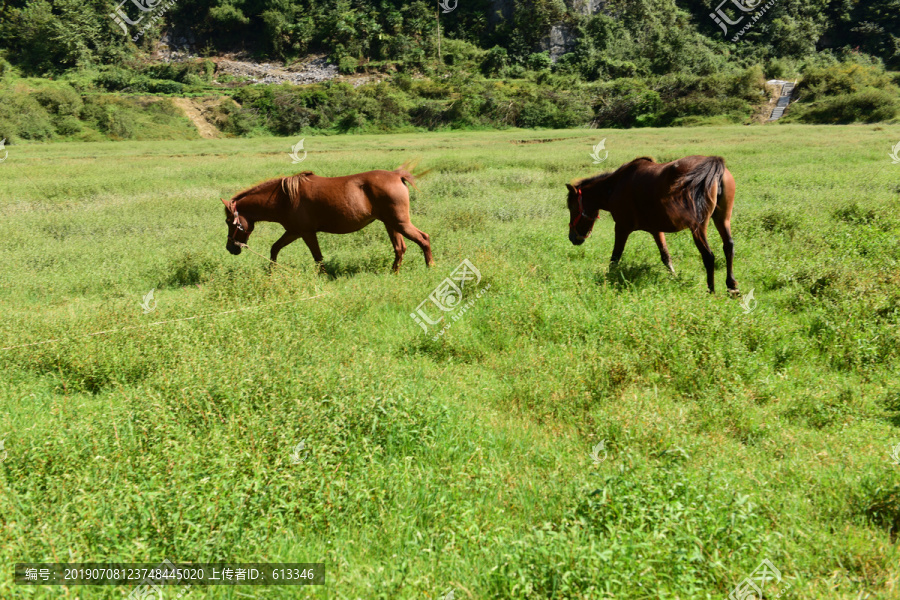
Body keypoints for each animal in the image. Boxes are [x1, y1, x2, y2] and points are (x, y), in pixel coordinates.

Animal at [222, 164, 434, 272]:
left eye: (228, 222)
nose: (230, 248)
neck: (284, 198)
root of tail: (396, 175)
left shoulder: (306, 233)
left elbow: (318, 257)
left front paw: (322, 277)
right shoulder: (293, 231)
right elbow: (275, 249)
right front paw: (271, 272)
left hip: (400, 222)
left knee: (423, 239)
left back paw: (430, 267)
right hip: (391, 224)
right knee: (400, 248)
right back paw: (394, 272)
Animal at [566, 155, 737, 294]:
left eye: (572, 207)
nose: (572, 238)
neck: (614, 187)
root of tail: (713, 165)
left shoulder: (621, 227)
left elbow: (615, 257)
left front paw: (608, 278)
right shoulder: (656, 230)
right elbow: (666, 257)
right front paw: (675, 278)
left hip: (698, 227)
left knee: (708, 256)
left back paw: (711, 290)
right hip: (722, 220)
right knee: (728, 246)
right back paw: (732, 287)